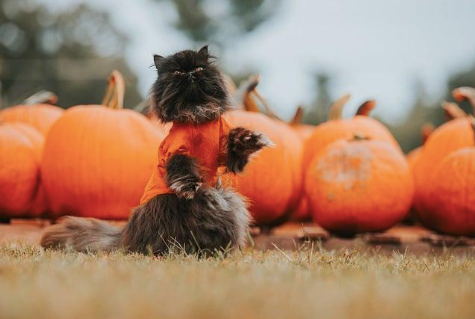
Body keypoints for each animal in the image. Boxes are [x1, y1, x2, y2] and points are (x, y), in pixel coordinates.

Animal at [40, 45, 272, 256]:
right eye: (177, 72)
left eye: (198, 69)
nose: (189, 74)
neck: (197, 114)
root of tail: (125, 236)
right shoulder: (177, 152)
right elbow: (183, 170)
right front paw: (189, 188)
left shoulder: (226, 154)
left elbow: (237, 147)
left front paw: (252, 139)